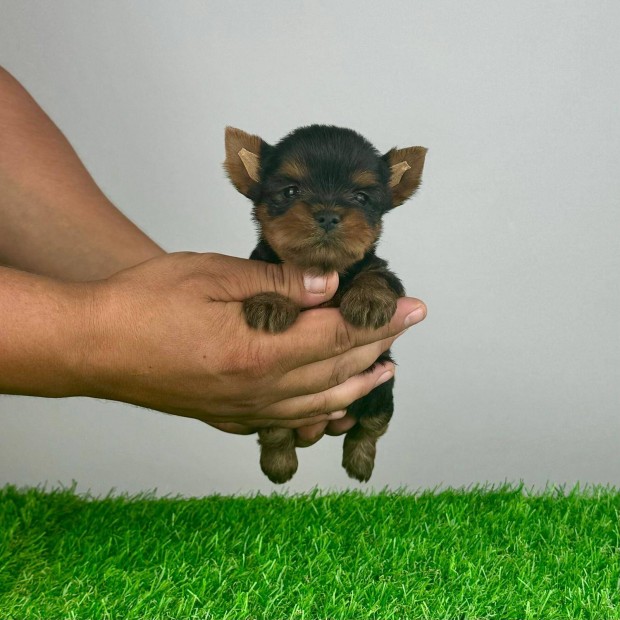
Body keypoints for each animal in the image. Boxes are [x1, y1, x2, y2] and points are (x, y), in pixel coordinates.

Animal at [224, 126, 426, 484]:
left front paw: (369, 299)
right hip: (275, 407)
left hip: (380, 388)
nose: (329, 214)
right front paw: (271, 303)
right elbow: (272, 275)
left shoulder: (380, 270)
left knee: (372, 425)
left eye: (361, 198)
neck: (321, 268)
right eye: (291, 191)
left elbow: (376, 275)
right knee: (275, 430)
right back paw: (279, 464)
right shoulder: (264, 265)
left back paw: (359, 463)